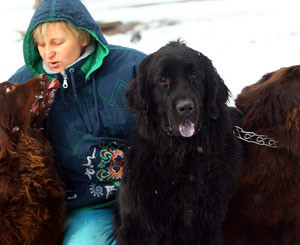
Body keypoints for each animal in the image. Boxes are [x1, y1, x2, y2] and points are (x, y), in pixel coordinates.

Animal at [113, 41, 241, 244]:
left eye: (194, 76)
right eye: (163, 80)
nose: (186, 107)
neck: (182, 154)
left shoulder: (209, 224)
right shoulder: (136, 226)